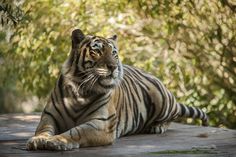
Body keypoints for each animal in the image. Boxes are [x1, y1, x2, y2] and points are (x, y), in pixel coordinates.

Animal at [25, 29, 208, 151]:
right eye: (97, 51)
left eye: (114, 53)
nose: (113, 67)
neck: (80, 90)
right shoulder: (49, 117)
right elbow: (44, 129)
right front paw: (39, 140)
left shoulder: (101, 124)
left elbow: (75, 131)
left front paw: (58, 141)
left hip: (163, 101)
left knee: (172, 116)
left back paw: (157, 127)